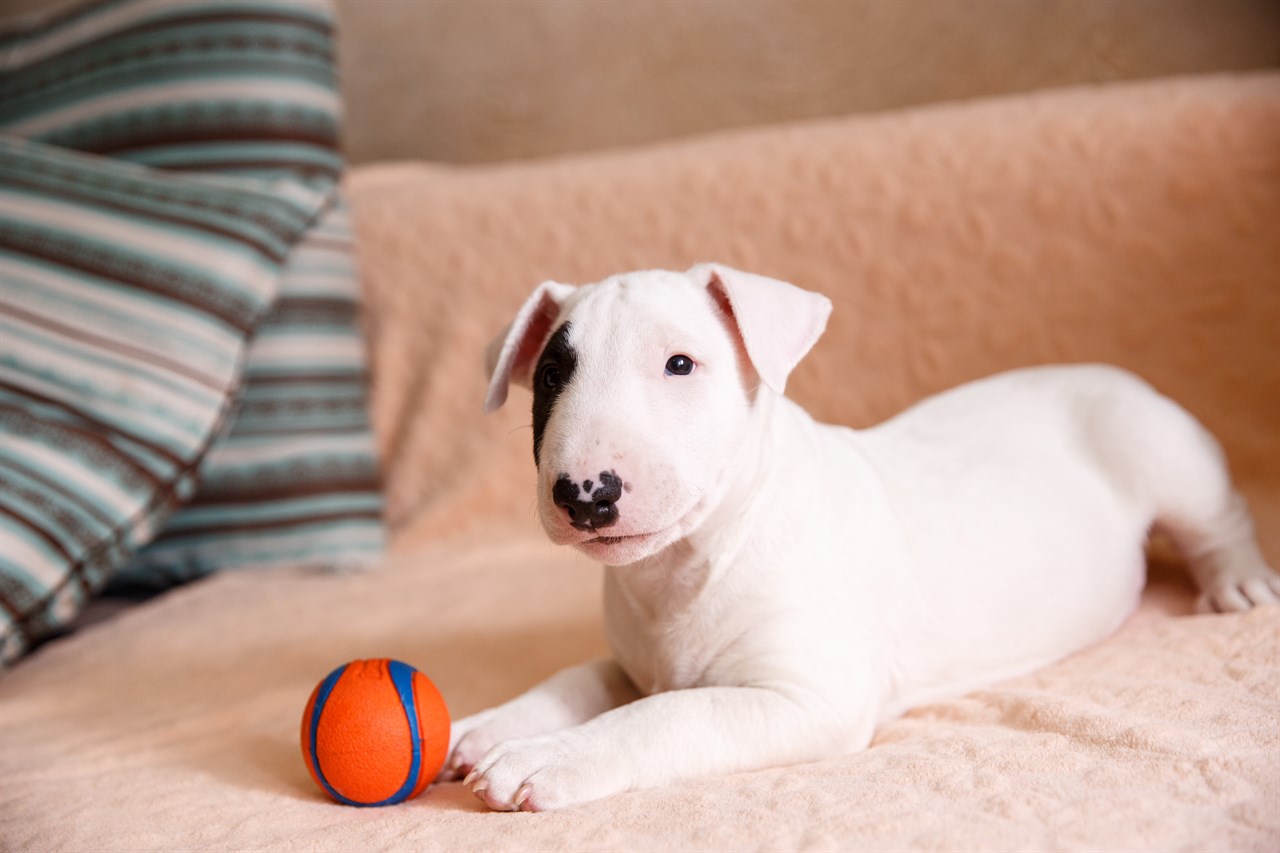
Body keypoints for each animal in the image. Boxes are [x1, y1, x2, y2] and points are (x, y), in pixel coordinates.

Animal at [442, 262, 1280, 809]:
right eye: (554, 374)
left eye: (681, 363)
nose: (585, 492)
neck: (688, 565)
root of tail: (1107, 368)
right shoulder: (634, 659)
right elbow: (582, 680)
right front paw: (486, 728)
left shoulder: (809, 696)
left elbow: (666, 714)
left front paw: (546, 758)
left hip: (1164, 451)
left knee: (1219, 516)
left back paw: (1238, 581)